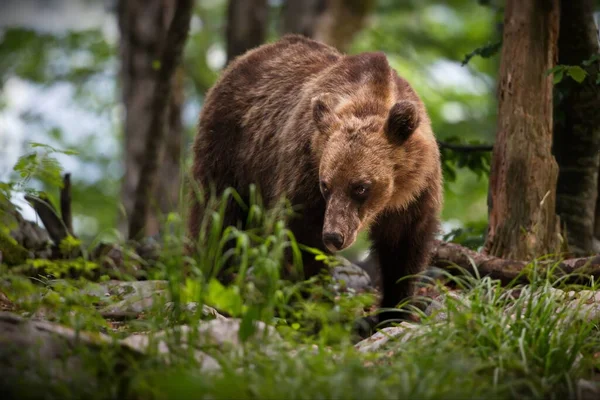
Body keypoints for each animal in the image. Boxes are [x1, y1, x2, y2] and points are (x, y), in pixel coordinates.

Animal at [190, 33, 442, 328]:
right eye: (326, 185)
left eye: (361, 187)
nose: (334, 236)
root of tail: (248, 57)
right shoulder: (305, 170)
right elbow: (300, 239)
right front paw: (292, 305)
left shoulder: (417, 193)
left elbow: (403, 250)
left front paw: (394, 313)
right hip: (230, 149)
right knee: (217, 217)